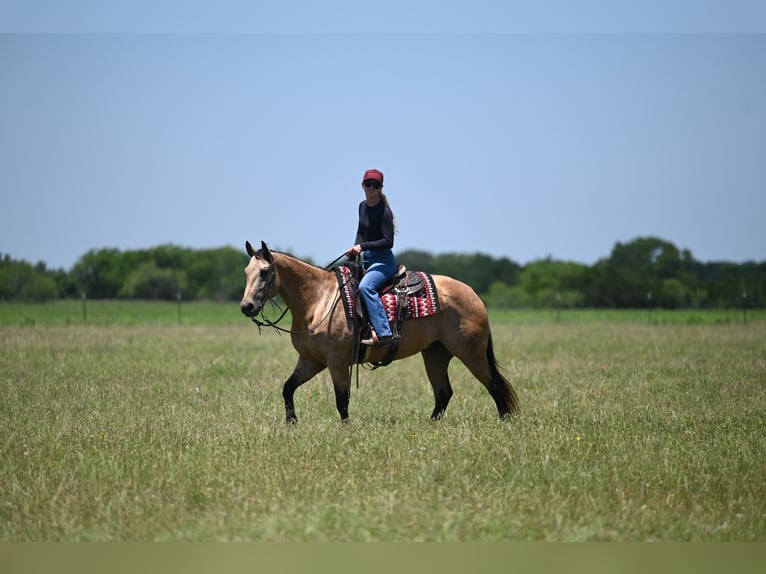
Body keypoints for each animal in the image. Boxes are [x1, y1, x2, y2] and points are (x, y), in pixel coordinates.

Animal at [239, 240, 519, 423]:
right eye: (246, 272)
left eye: (264, 272)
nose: (246, 306)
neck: (319, 300)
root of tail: (474, 294)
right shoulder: (311, 361)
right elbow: (288, 388)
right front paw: (292, 423)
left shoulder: (337, 362)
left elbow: (342, 400)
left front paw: (346, 429)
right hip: (435, 354)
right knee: (444, 393)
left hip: (471, 354)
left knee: (494, 385)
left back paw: (504, 422)